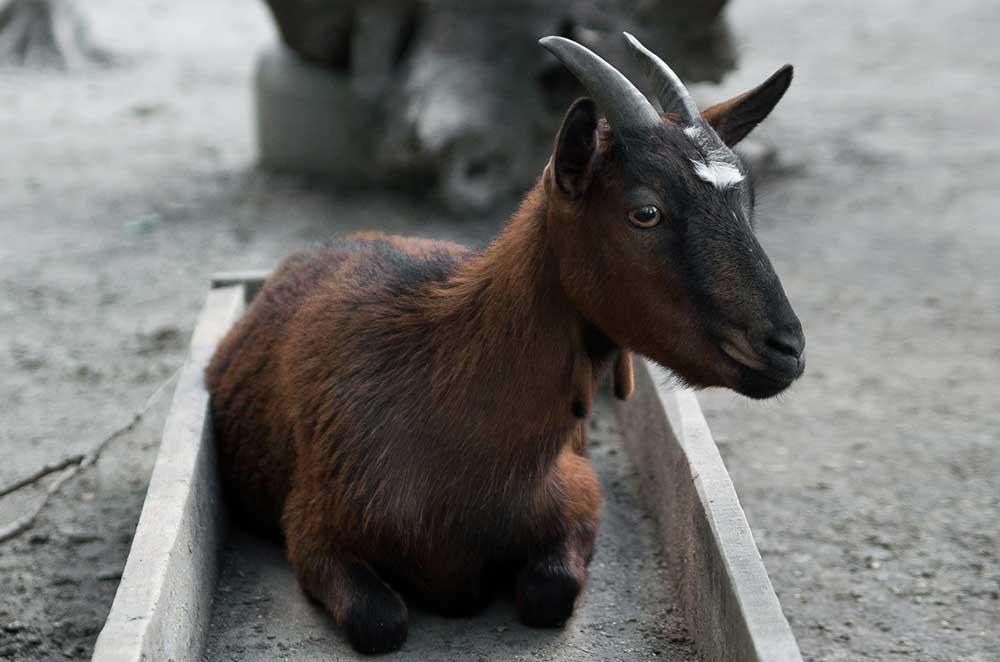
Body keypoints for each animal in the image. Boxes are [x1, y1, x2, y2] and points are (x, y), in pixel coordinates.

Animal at [203, 33, 804, 656]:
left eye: (748, 203)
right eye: (646, 212)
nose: (785, 347)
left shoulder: (580, 492)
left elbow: (549, 593)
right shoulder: (312, 527)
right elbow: (379, 621)